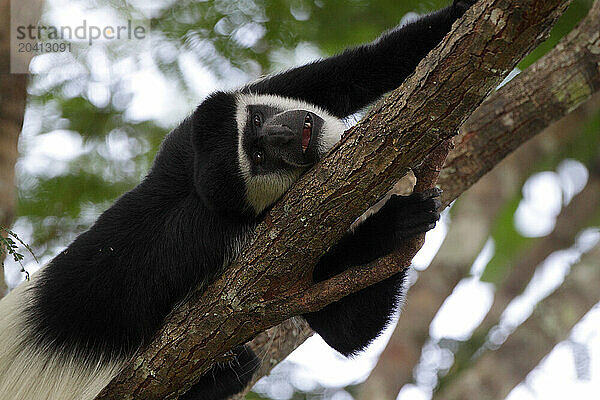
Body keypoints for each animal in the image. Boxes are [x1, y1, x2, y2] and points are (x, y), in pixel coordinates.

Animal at [0, 1, 476, 398]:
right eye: (260, 156)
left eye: (259, 123)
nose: (286, 133)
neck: (191, 187)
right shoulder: (226, 239)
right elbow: (342, 330)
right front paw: (399, 220)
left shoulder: (188, 137)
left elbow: (350, 74)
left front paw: (461, 15)